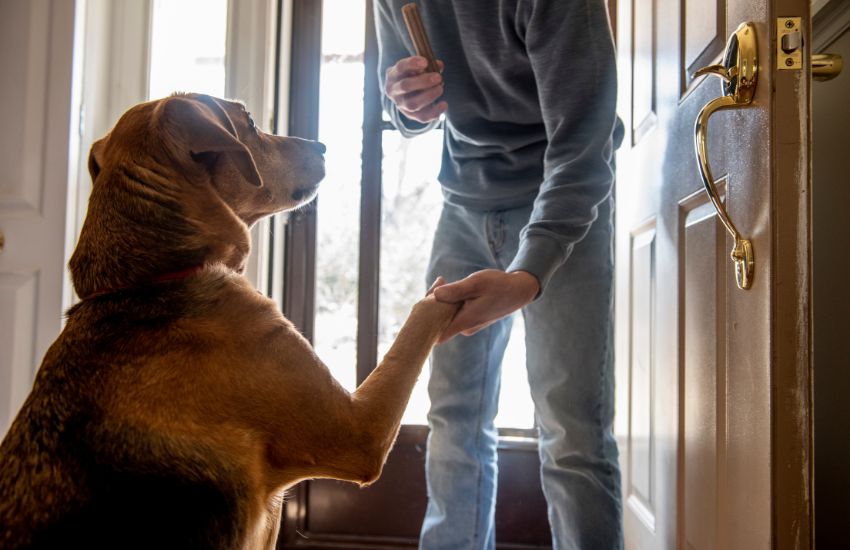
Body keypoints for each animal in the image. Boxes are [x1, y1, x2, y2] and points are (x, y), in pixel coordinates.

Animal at [0, 92, 458, 548]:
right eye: (251, 123)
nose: (323, 145)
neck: (151, 279)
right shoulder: (359, 431)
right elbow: (417, 323)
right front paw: (454, 291)